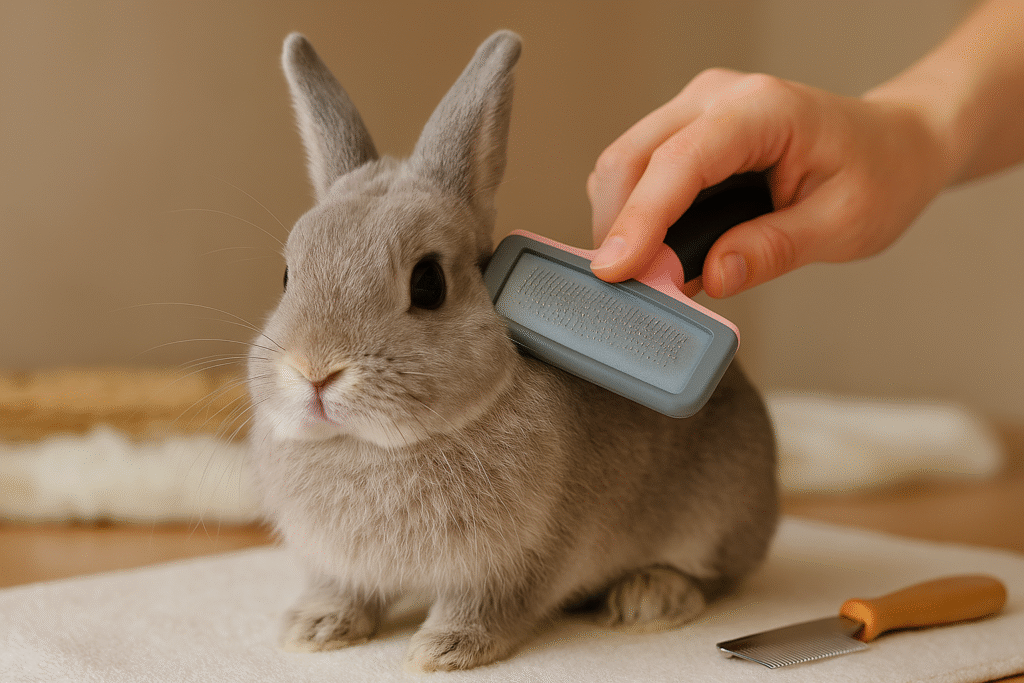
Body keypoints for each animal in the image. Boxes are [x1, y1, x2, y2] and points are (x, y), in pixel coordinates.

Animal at [246, 29, 778, 672]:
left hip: (719, 514)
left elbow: (489, 605)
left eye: (429, 283)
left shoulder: (520, 559)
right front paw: (313, 628)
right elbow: (344, 590)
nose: (315, 371)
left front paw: (443, 650)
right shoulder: (342, 566)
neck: (373, 447)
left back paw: (649, 598)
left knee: (716, 577)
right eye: (286, 276)